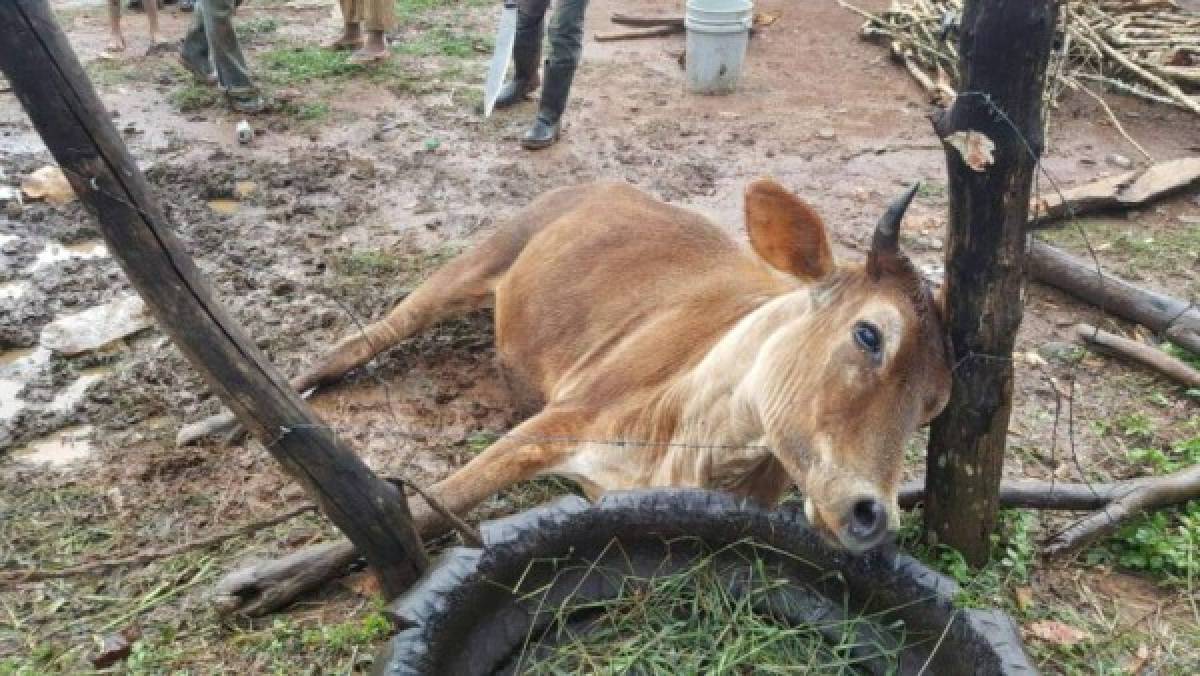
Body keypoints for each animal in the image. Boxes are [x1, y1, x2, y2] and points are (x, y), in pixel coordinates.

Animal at [187, 180, 950, 614]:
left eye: (935, 405)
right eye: (869, 334)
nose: (872, 515)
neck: (699, 435)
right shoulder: (558, 420)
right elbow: (429, 501)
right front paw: (263, 583)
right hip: (477, 259)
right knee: (357, 342)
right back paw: (215, 421)